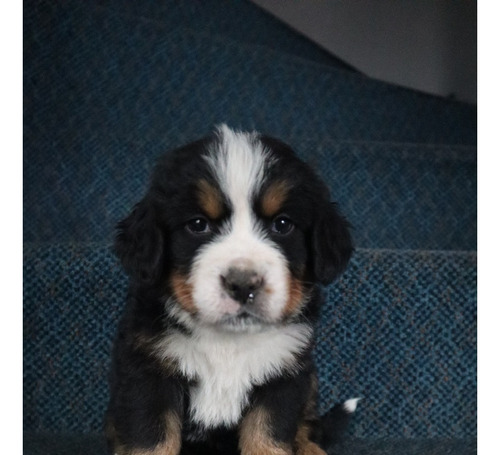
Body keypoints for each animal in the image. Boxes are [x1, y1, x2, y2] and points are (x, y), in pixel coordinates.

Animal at [105, 125, 356, 455]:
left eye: (282, 224)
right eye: (198, 224)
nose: (243, 283)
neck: (228, 342)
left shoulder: (283, 373)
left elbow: (268, 436)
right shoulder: (147, 370)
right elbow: (151, 439)